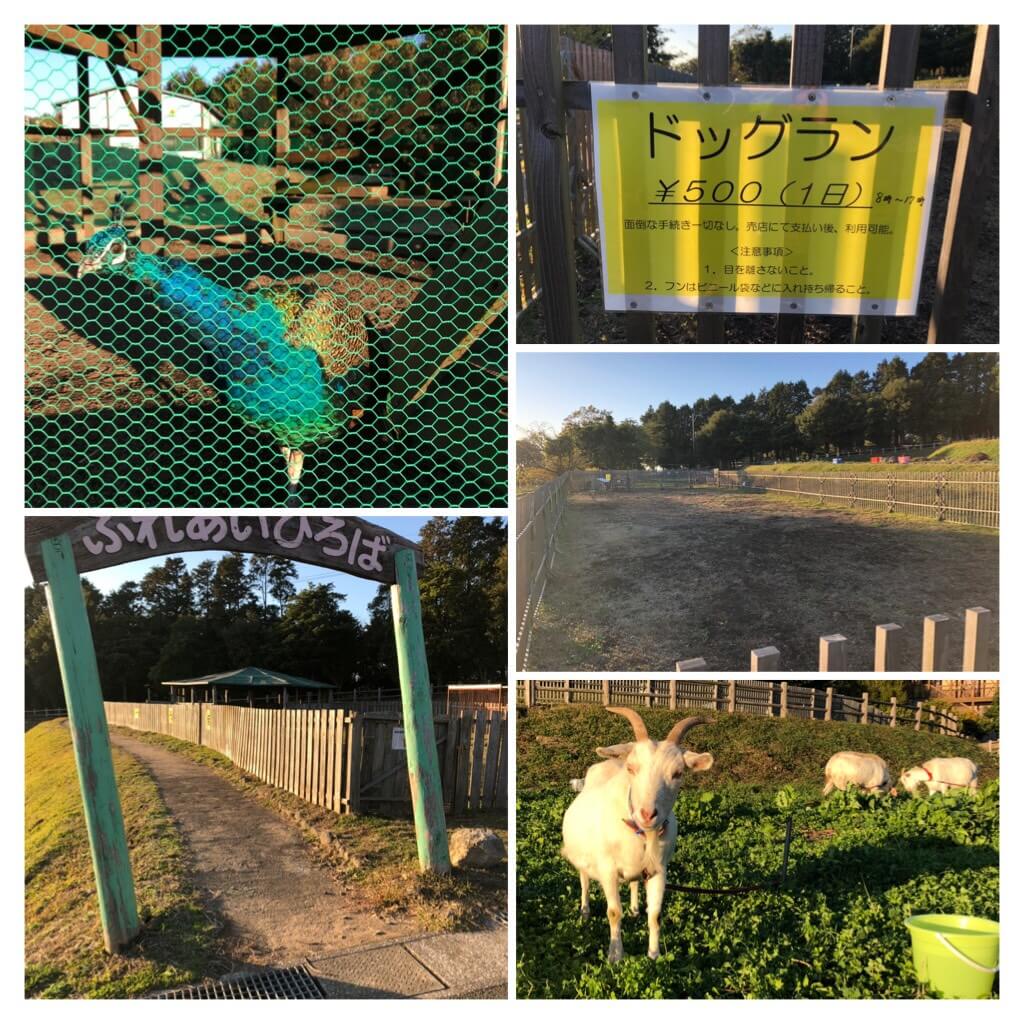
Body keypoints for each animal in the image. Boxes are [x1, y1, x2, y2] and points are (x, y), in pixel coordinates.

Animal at [561, 708, 712, 962]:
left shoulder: (659, 870)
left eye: (678, 773)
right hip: (583, 857)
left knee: (633, 883)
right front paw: (615, 956)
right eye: (632, 768)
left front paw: (654, 955)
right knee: (584, 880)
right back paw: (585, 911)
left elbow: (656, 916)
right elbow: (613, 912)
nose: (647, 814)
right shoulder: (607, 869)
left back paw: (633, 909)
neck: (642, 835)